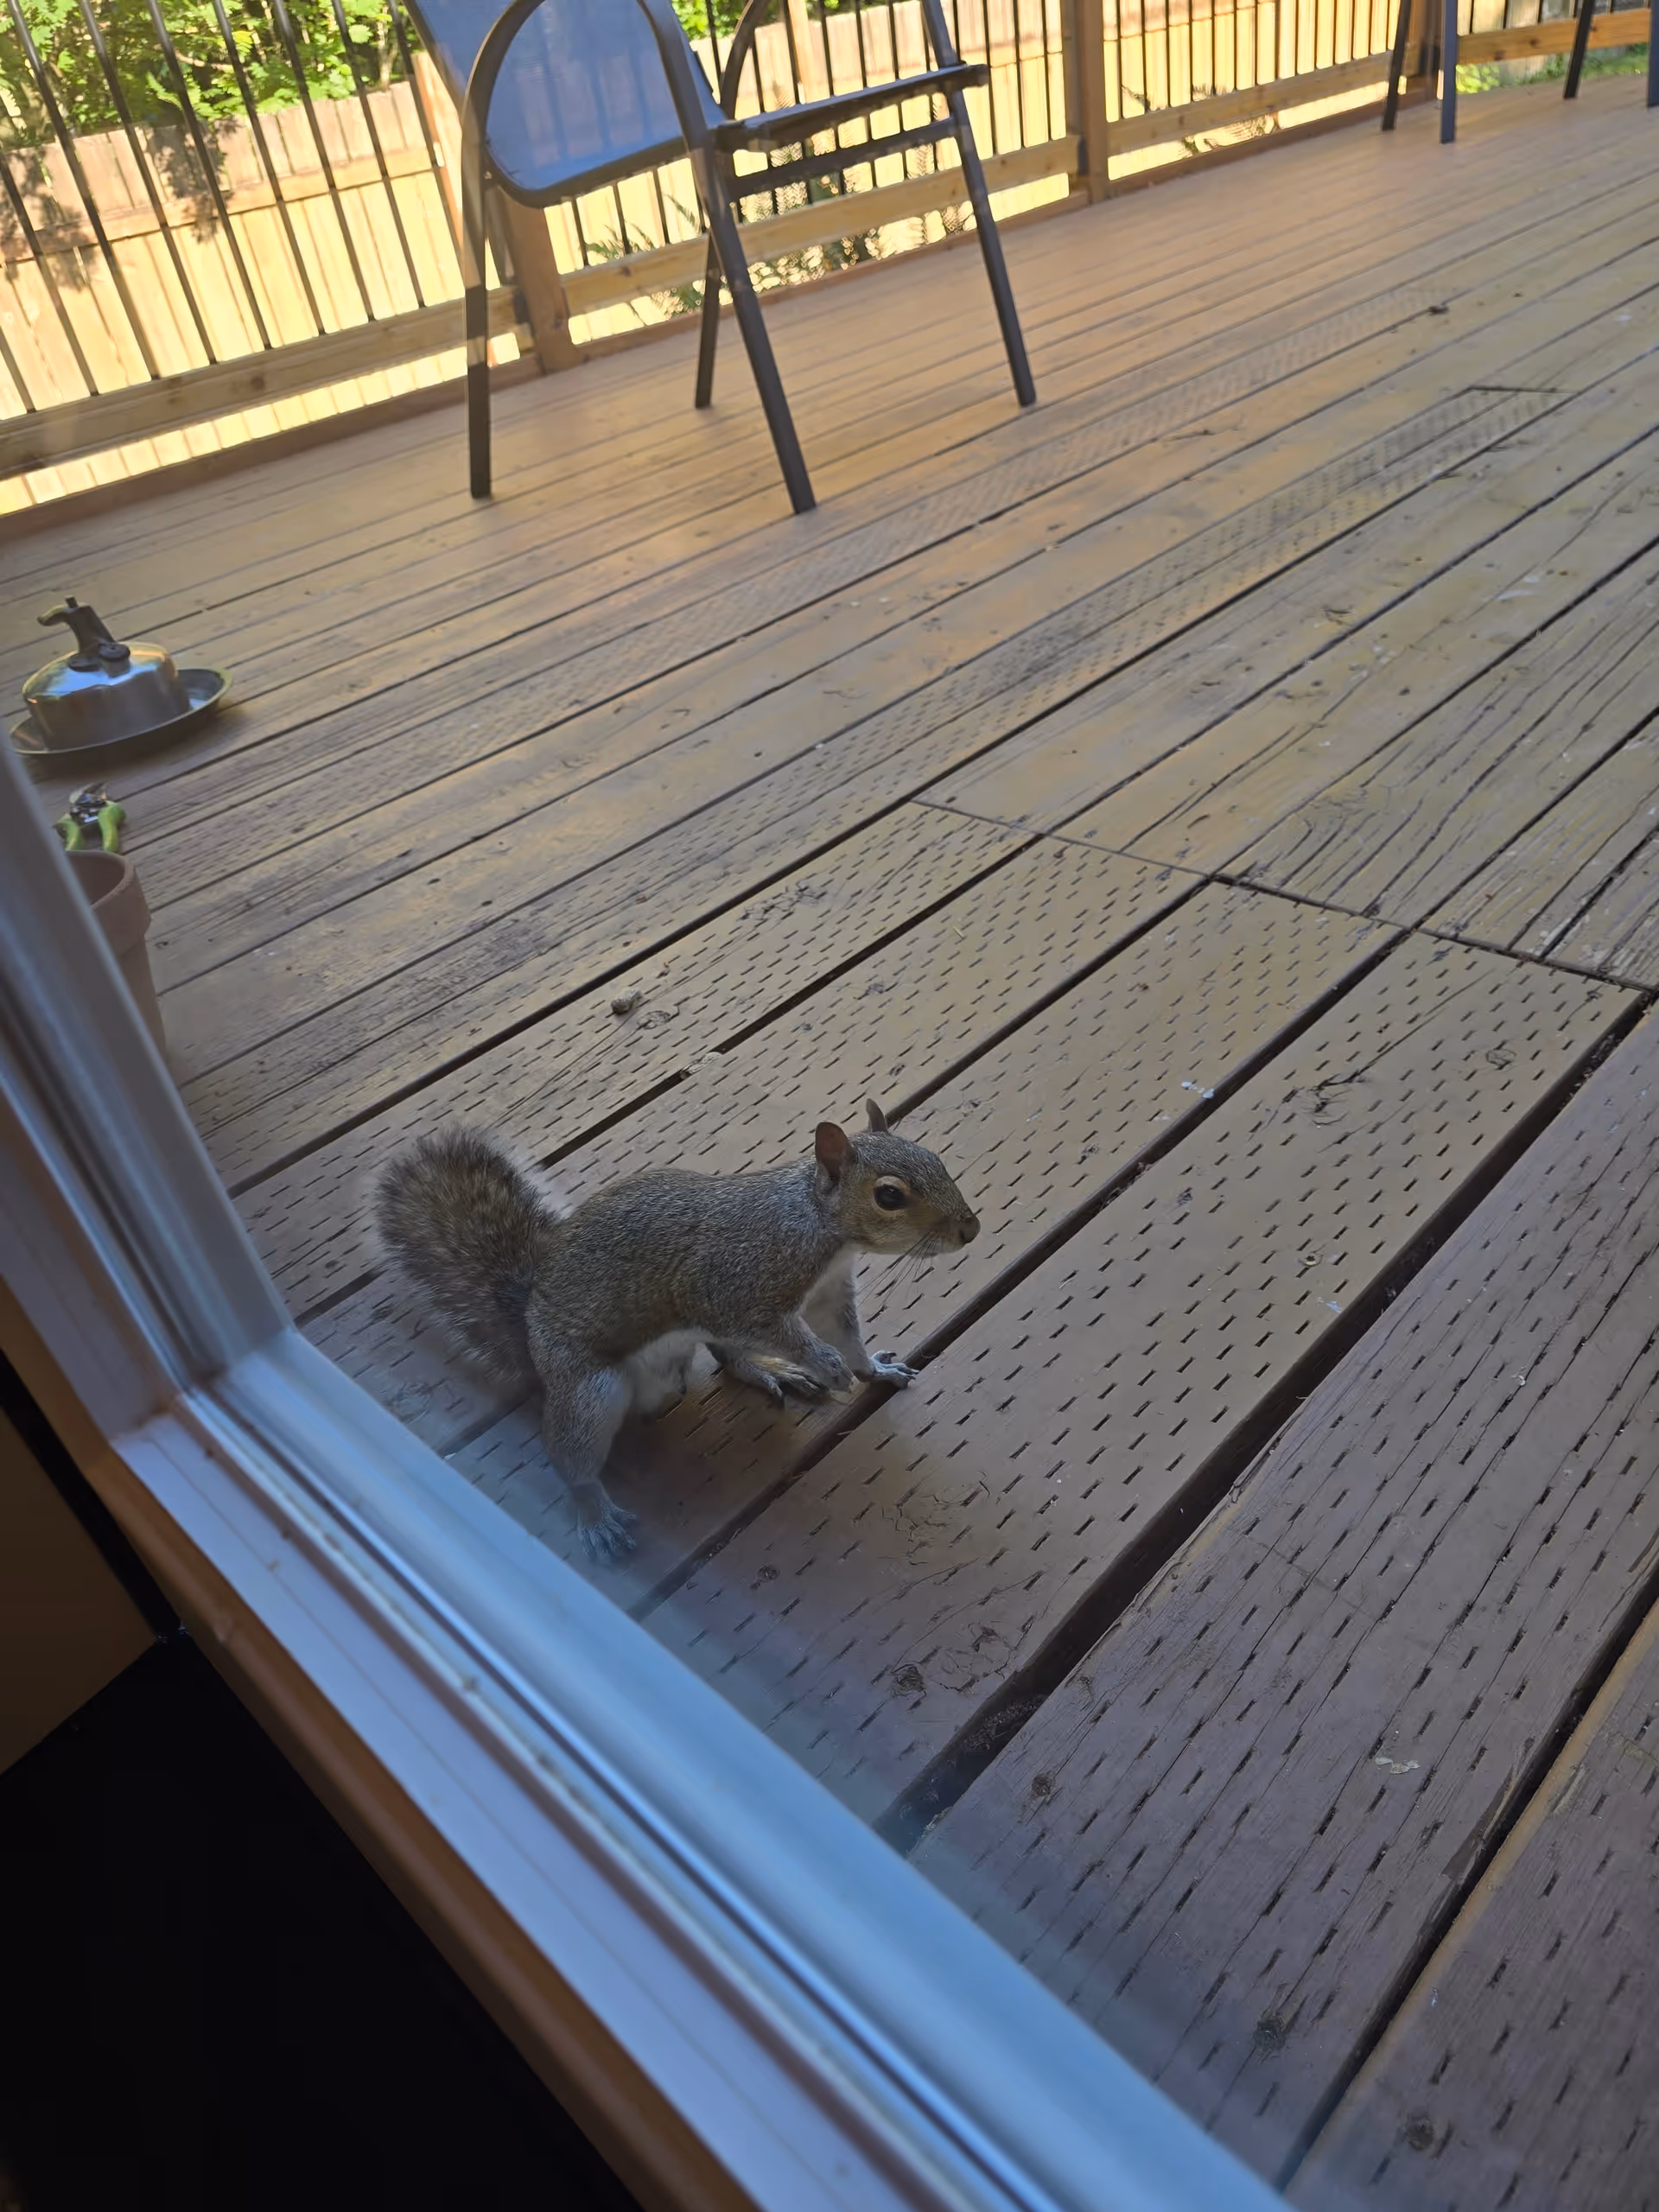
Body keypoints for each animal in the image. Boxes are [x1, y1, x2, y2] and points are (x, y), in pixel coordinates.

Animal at [372, 1102, 980, 1564]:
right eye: (889, 1196)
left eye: (936, 1158)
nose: (970, 1229)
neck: (816, 1223)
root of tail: (529, 1328)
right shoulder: (735, 1291)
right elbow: (788, 1332)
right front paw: (826, 1365)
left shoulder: (830, 1292)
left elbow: (846, 1335)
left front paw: (871, 1368)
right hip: (590, 1390)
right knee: (568, 1455)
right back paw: (594, 1511)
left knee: (726, 1358)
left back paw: (770, 1370)